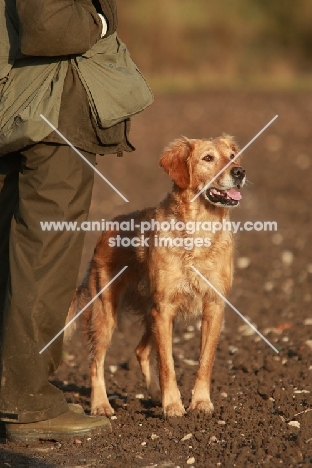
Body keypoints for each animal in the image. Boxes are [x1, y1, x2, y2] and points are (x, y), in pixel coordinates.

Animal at [67, 135, 246, 416]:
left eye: (232, 157)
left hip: (150, 313)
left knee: (140, 350)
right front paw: (172, 405)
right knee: (96, 362)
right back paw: (101, 405)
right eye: (208, 158)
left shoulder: (213, 306)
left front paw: (200, 402)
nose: (240, 172)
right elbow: (167, 364)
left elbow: (205, 361)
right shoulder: (164, 308)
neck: (199, 230)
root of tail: (108, 228)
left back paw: (152, 396)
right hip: (106, 313)